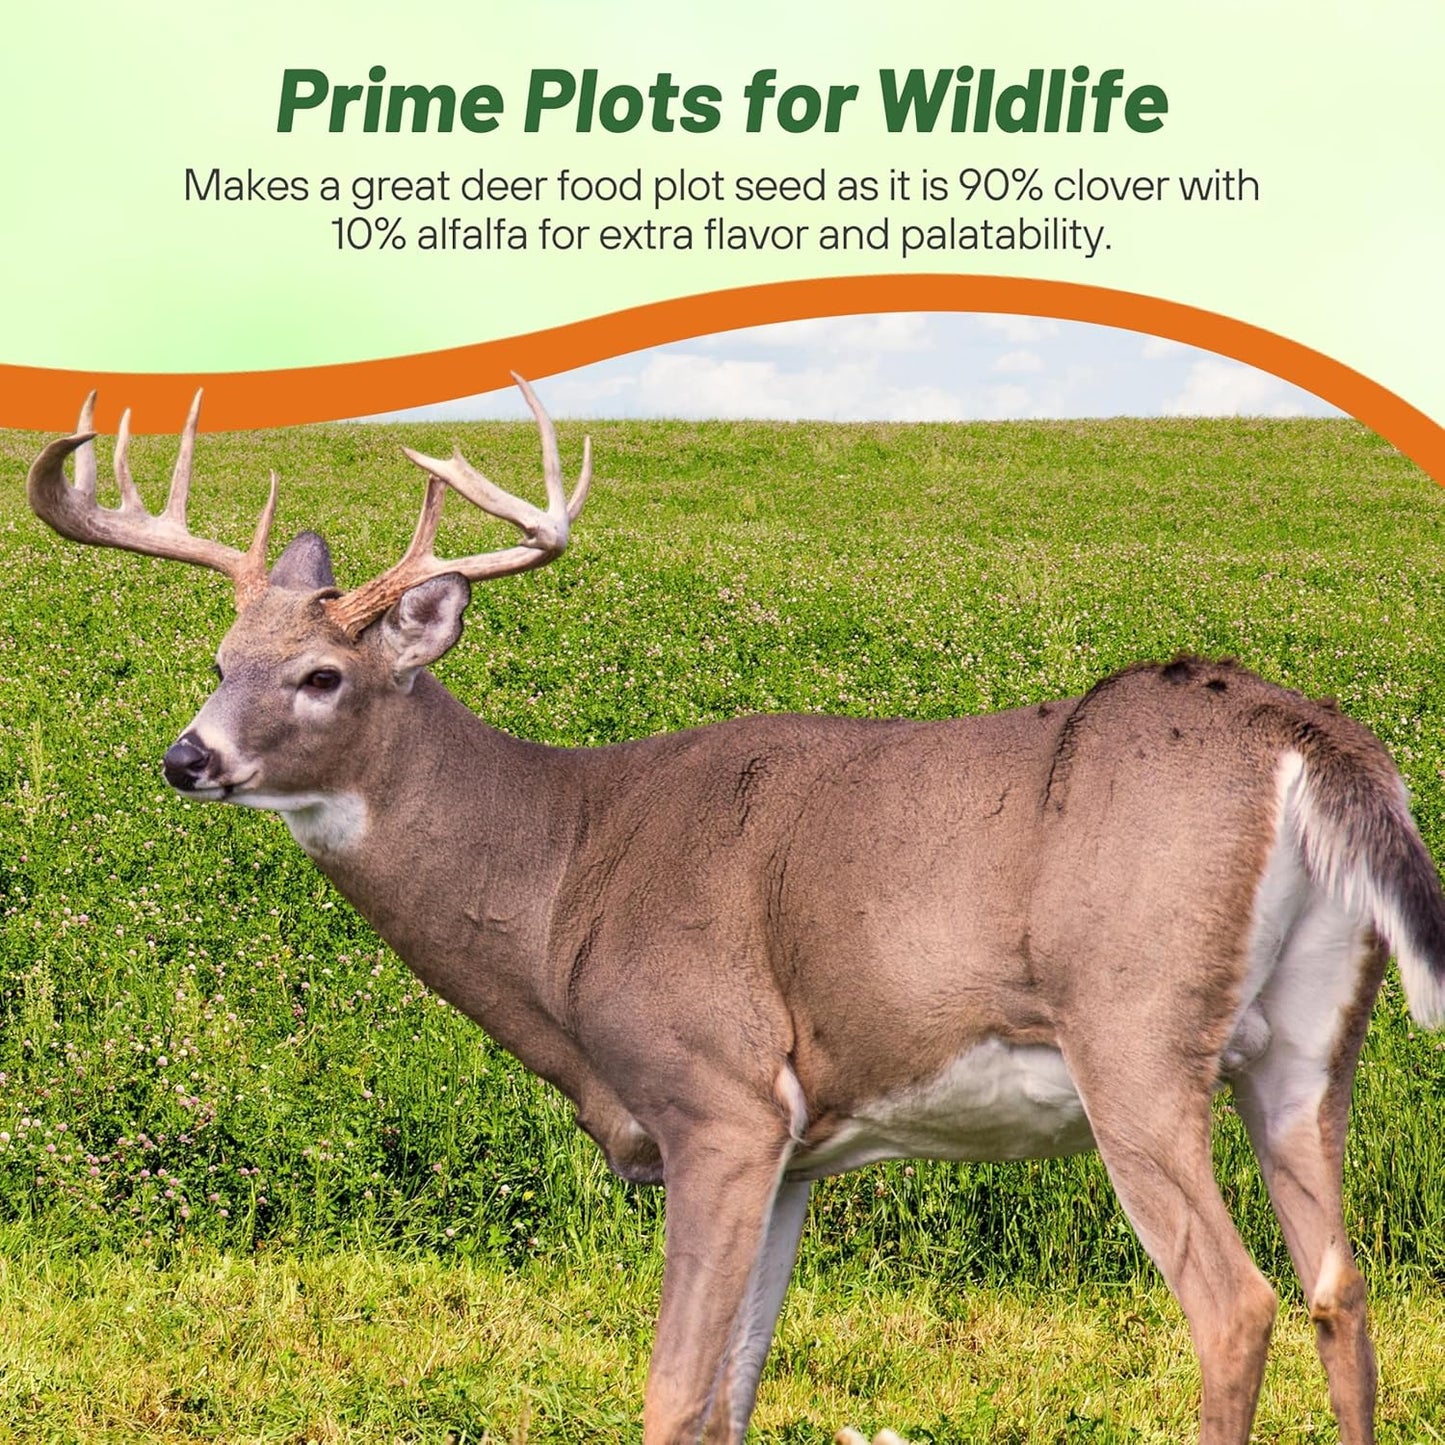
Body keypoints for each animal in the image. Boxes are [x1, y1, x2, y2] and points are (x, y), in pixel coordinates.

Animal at [25, 379, 1445, 1445]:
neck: (562, 873)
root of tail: (1310, 738)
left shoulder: (714, 1094)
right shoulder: (798, 1147)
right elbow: (733, 1394)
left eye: (321, 674)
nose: (187, 756)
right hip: (1306, 1042)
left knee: (1235, 1302)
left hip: (1132, 1024)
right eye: (220, 661)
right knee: (1340, 1286)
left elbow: (669, 1395)